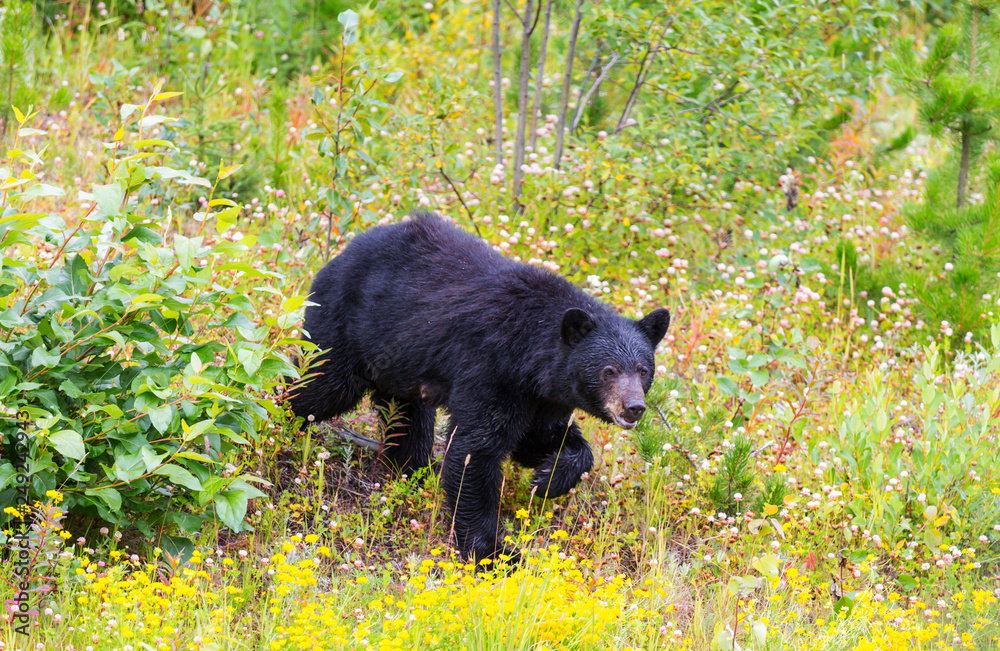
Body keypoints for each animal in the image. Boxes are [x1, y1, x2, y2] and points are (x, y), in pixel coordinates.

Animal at [289, 211, 670, 560]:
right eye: (609, 370)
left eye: (643, 370)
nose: (634, 407)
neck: (530, 353)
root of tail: (342, 252)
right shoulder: (490, 368)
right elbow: (476, 451)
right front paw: (493, 552)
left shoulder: (543, 395)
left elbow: (539, 438)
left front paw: (549, 478)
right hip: (345, 326)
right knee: (320, 384)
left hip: (399, 361)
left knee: (409, 418)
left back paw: (415, 470)